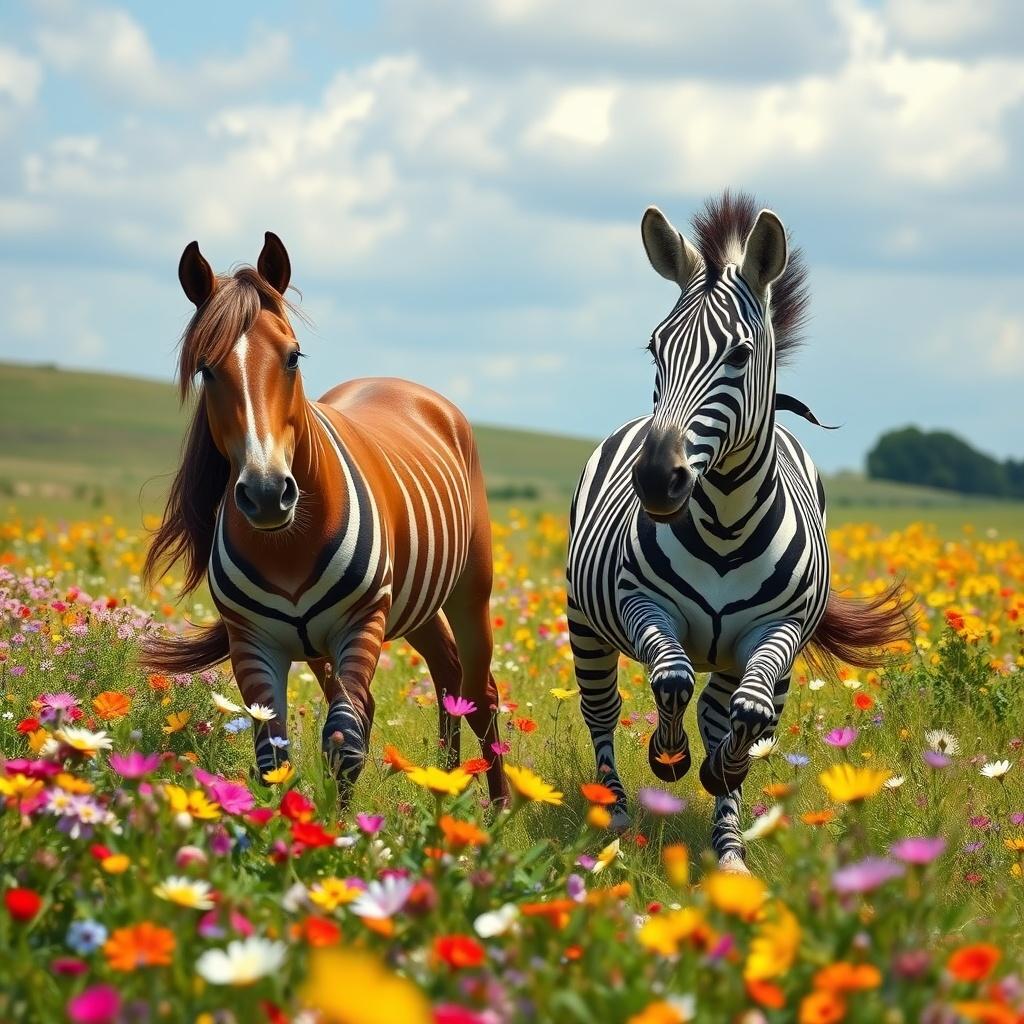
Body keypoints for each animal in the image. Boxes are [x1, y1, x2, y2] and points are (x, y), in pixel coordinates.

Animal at [566, 192, 910, 870]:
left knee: (733, 712)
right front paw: (667, 758)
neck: (725, 523)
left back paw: (727, 841)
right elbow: (670, 678)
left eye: (740, 355)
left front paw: (719, 777)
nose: (656, 479)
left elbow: (747, 719)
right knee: (604, 709)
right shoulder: (641, 604)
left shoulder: (777, 630)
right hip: (585, 622)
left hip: (740, 655)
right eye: (655, 349)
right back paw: (614, 811)